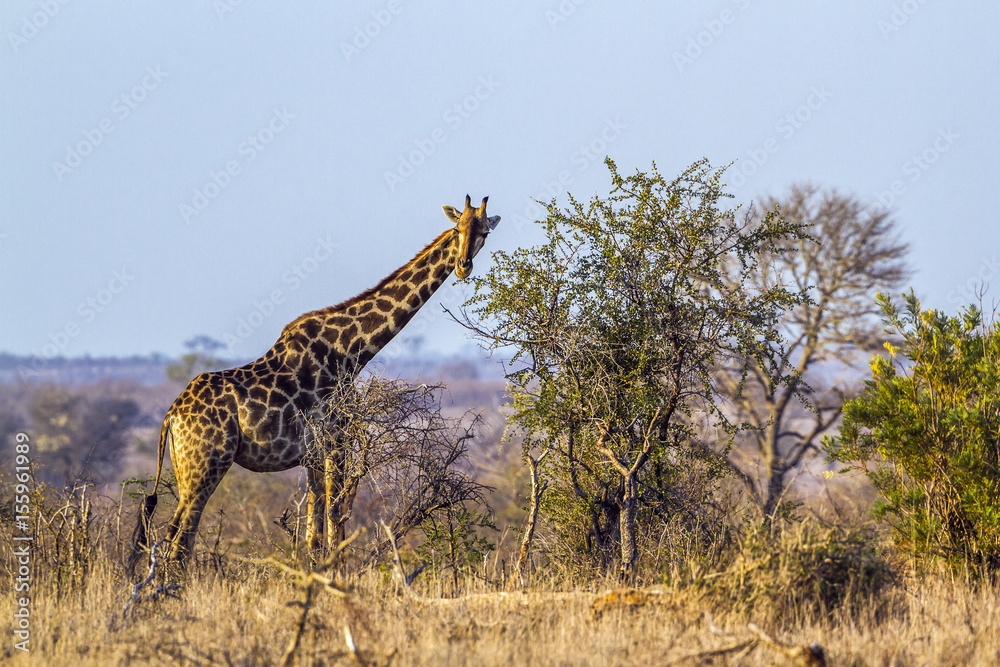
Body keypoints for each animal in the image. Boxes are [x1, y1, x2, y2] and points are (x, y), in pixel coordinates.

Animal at [128, 195, 500, 572]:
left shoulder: (313, 455)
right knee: (180, 541)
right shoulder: (336, 441)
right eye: (457, 230)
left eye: (483, 232)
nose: (463, 266)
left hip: (187, 469)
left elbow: (314, 534)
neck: (352, 350)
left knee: (171, 536)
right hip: (206, 465)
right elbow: (336, 521)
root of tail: (171, 416)